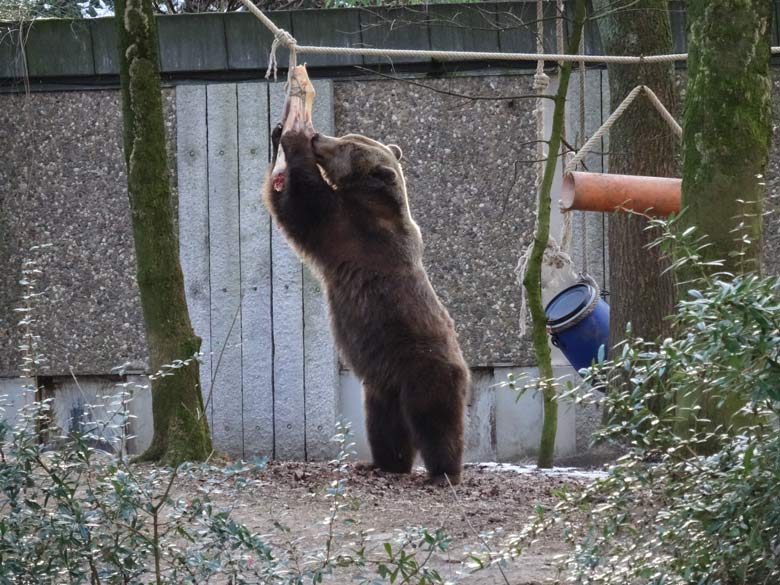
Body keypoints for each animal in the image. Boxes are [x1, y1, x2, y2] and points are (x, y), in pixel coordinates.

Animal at [262, 125, 470, 486]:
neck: (373, 199)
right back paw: (383, 463)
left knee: (436, 422)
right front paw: (277, 133)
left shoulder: (352, 230)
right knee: (385, 426)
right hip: (383, 386)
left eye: (346, 145)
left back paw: (443, 473)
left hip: (425, 371)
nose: (318, 137)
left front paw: (293, 139)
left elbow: (301, 205)